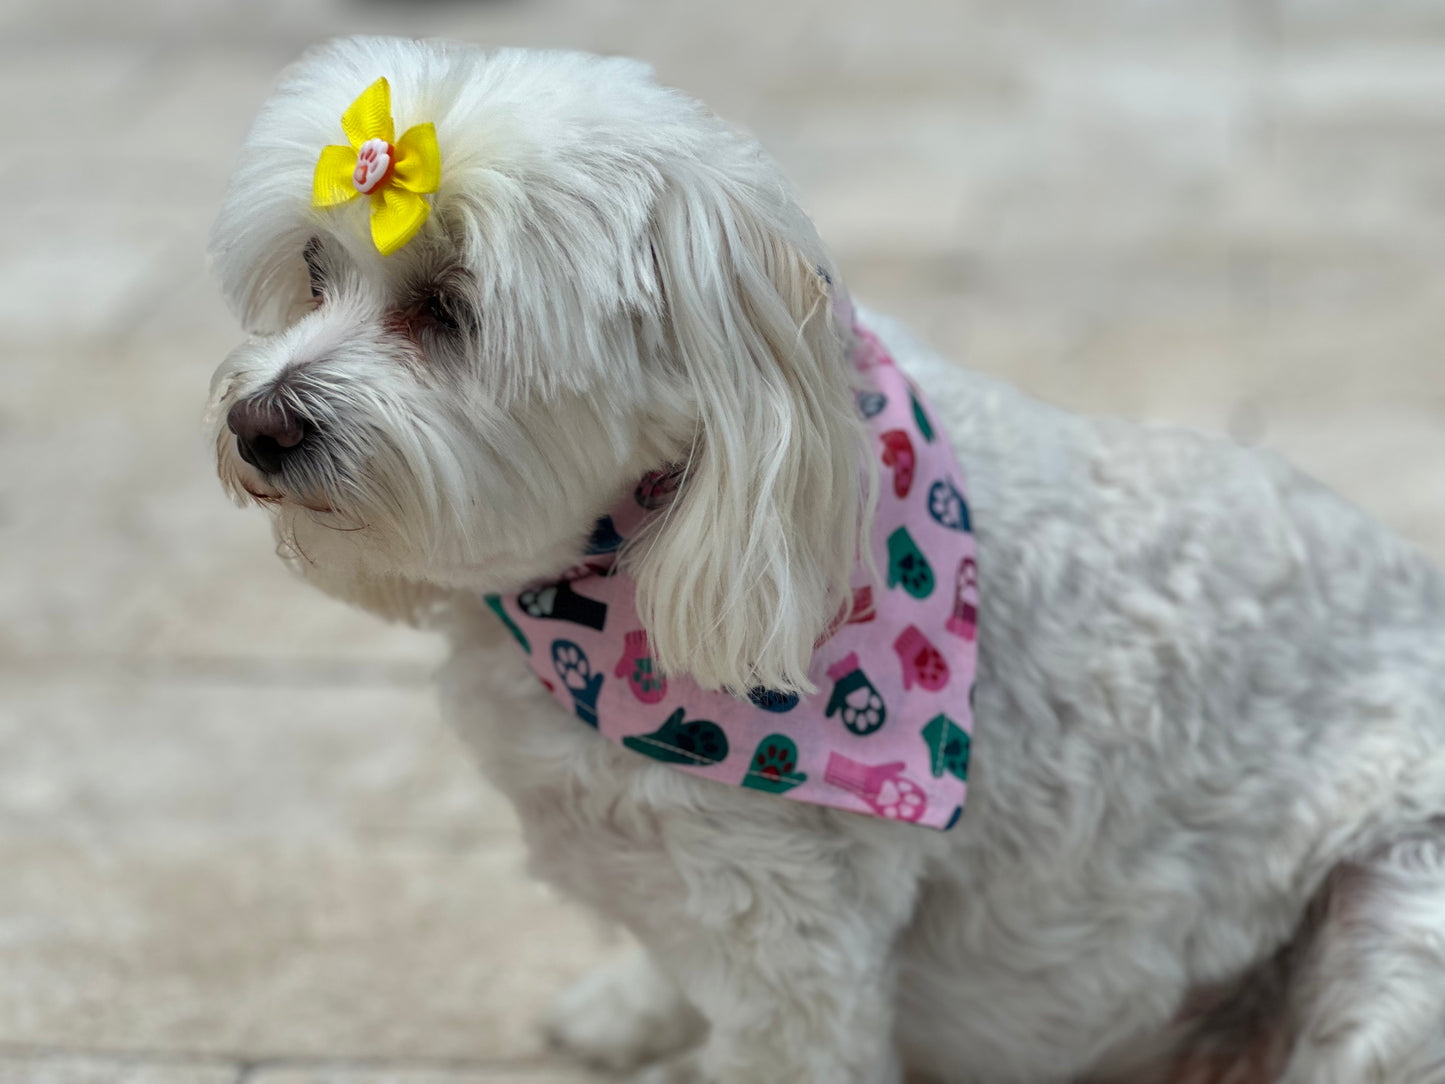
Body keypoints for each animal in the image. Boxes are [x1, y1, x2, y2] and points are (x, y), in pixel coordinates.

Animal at [206, 36, 1445, 1084]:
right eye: (312, 269)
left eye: (450, 309)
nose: (256, 424)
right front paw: (632, 1009)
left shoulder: (793, 943)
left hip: (1395, 929)